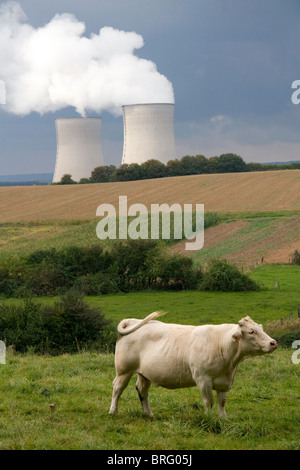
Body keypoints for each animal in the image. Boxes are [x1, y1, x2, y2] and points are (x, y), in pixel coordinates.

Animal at [109, 314, 278, 416]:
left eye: (261, 328)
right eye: (251, 332)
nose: (273, 343)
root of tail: (133, 321)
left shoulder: (224, 382)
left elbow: (222, 402)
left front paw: (223, 418)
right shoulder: (203, 379)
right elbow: (209, 401)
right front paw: (210, 419)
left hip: (145, 373)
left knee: (142, 390)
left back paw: (149, 414)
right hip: (124, 370)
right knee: (117, 388)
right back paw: (113, 411)